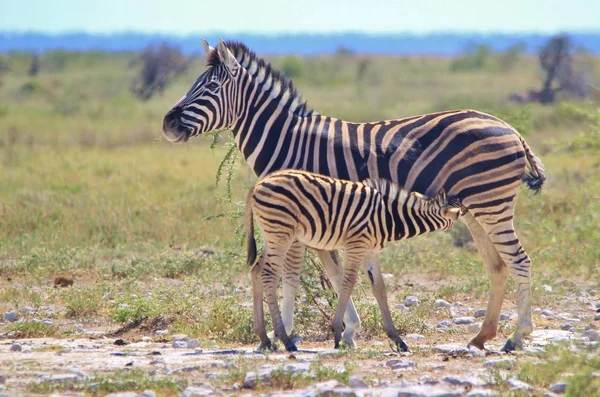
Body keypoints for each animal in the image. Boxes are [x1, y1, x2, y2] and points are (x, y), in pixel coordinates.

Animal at [244, 169, 464, 352]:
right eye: (461, 212)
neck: (389, 216)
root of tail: (257, 185)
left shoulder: (370, 251)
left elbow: (379, 289)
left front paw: (397, 339)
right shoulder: (357, 244)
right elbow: (348, 283)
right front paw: (337, 334)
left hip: (271, 235)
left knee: (256, 271)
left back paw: (264, 338)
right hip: (281, 233)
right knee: (269, 275)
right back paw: (285, 339)